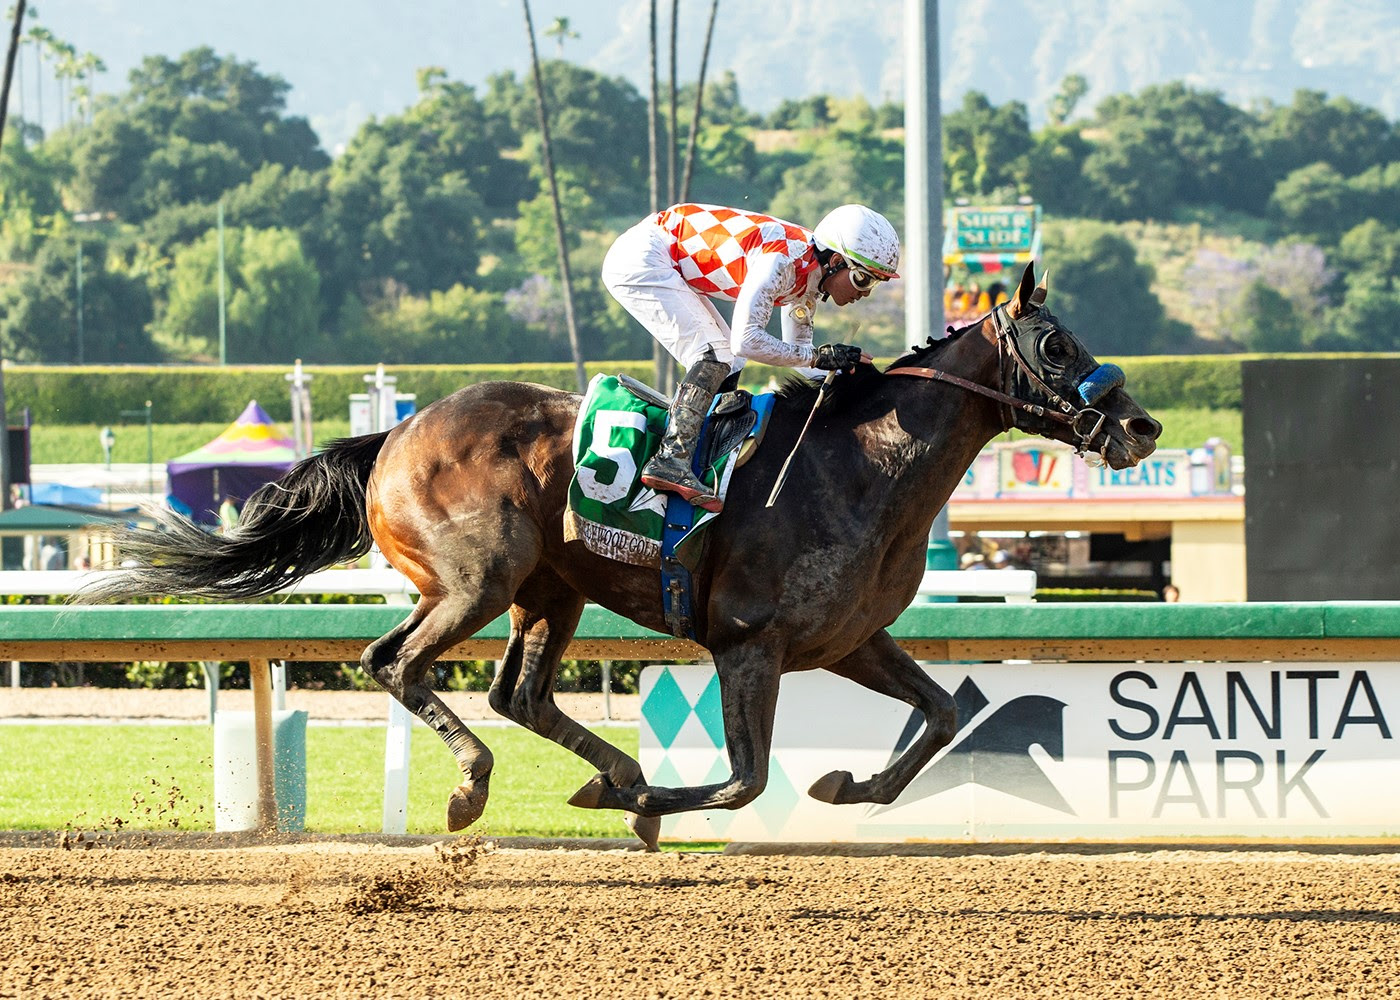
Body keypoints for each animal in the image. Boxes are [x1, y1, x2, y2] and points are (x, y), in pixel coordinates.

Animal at [81, 263, 1161, 849]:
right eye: (1055, 345)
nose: (1141, 425)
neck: (862, 464)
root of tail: (393, 436)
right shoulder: (748, 643)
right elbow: (744, 780)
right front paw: (646, 802)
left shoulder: (848, 639)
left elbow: (937, 715)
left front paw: (842, 788)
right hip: (477, 580)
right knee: (398, 663)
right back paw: (477, 785)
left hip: (547, 591)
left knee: (518, 693)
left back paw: (598, 771)